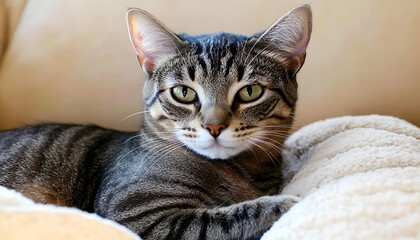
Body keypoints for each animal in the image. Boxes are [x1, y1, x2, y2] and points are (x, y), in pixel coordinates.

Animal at [0, 4, 312, 240]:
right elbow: (223, 220)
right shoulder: (138, 215)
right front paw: (289, 203)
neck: (244, 172)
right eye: (184, 92)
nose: (214, 127)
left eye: (250, 92)